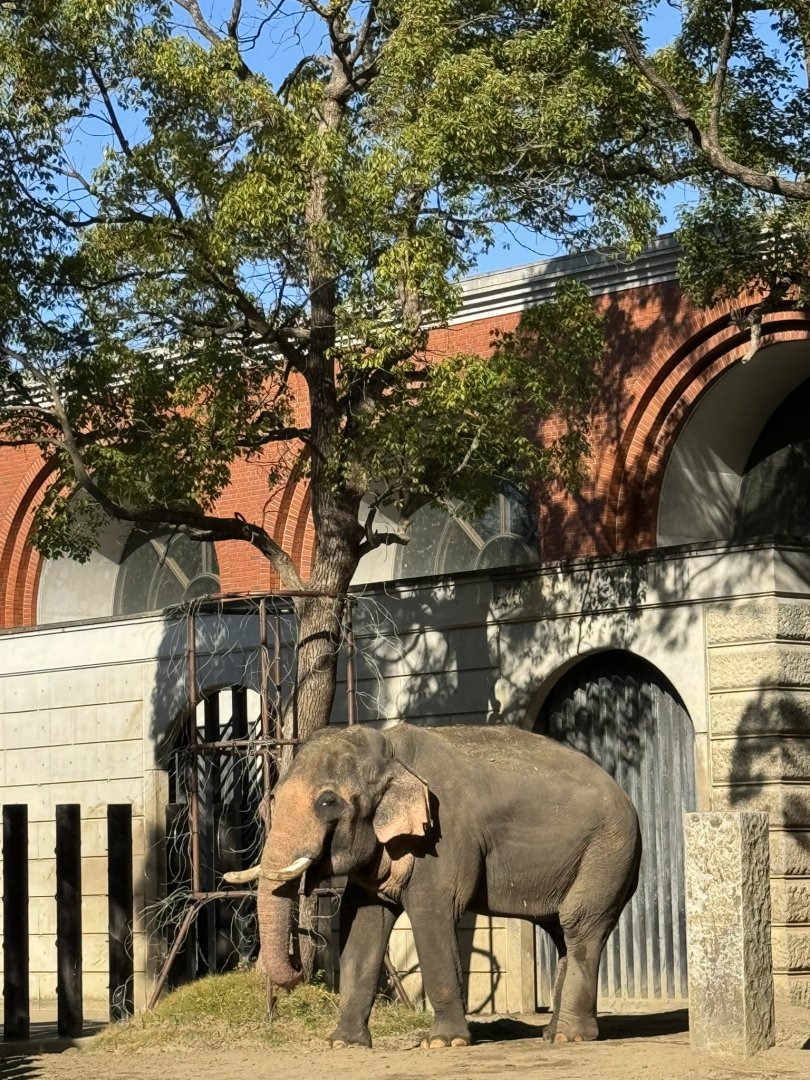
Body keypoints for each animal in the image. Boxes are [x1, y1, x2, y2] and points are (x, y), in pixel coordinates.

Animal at [225, 721, 641, 1049]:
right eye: (273, 797)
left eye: (327, 802)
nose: (300, 964)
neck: (389, 748)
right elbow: (363, 923)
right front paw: (342, 1044)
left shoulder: (443, 835)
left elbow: (432, 913)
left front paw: (442, 1042)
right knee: (561, 932)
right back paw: (552, 1033)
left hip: (608, 853)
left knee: (579, 924)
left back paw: (570, 1036)